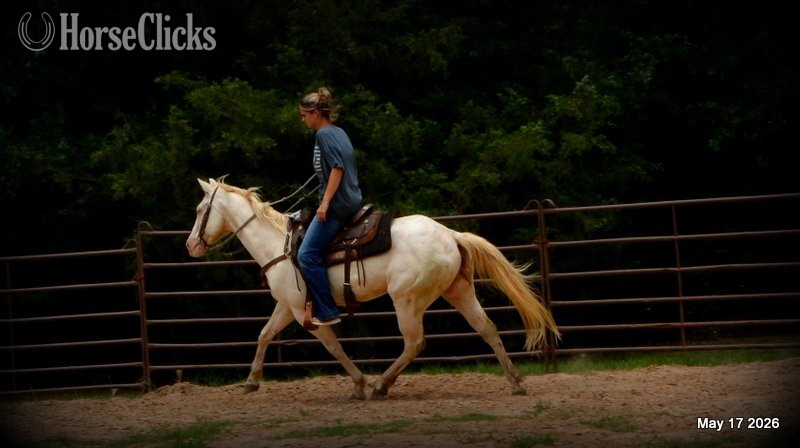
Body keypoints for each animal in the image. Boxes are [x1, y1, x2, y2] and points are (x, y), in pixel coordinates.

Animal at [186, 177, 560, 399]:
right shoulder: (286, 307)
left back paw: (382, 384)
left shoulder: (306, 312)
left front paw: (361, 383)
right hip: (458, 290)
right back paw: (516, 382)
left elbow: (333, 347)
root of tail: (451, 234)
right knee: (487, 328)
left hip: (407, 300)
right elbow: (264, 335)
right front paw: (251, 381)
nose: (191, 245)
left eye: (201, 209)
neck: (281, 246)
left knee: (415, 342)